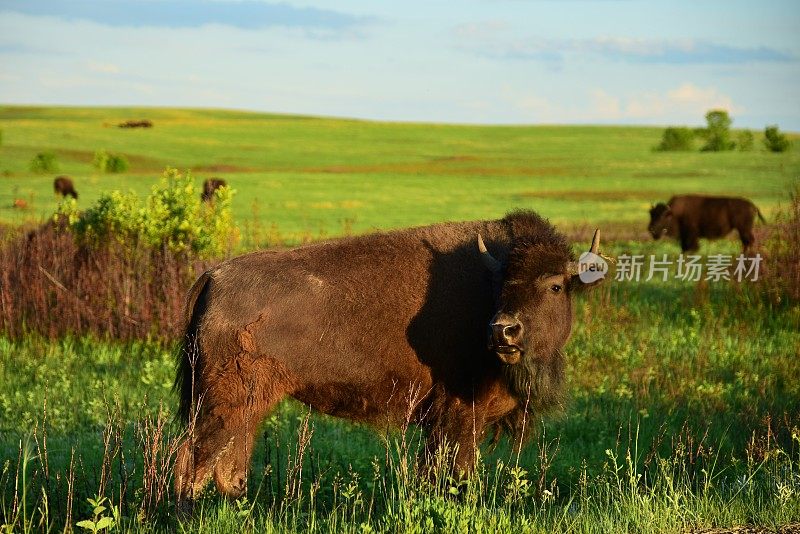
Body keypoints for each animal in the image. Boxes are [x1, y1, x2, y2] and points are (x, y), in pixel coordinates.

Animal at [172, 211, 604, 504]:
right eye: (499, 283)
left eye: (555, 286)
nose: (503, 331)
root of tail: (212, 276)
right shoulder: (461, 413)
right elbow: (457, 471)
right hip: (222, 401)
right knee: (193, 460)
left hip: (243, 405)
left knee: (227, 462)